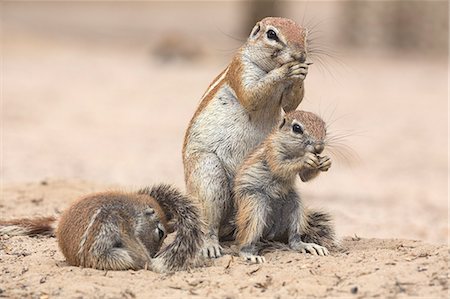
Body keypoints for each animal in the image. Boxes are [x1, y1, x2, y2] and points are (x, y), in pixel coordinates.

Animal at [0, 184, 204, 274]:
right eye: (160, 233)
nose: (154, 253)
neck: (135, 208)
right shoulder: (122, 223)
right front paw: (148, 262)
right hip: (111, 256)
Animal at [183, 17, 310, 260]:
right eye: (272, 34)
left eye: (304, 34)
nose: (300, 55)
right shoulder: (241, 68)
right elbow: (252, 95)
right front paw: (287, 69)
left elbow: (292, 104)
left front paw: (301, 72)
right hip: (208, 174)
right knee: (208, 222)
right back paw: (210, 245)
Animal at [236, 111, 334, 264]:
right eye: (297, 128)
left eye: (325, 128)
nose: (319, 148)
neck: (294, 151)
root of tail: (271, 232)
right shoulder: (273, 152)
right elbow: (281, 168)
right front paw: (305, 160)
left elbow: (305, 177)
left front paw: (325, 162)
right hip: (254, 205)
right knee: (246, 237)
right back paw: (249, 254)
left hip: (295, 205)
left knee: (293, 239)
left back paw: (307, 246)